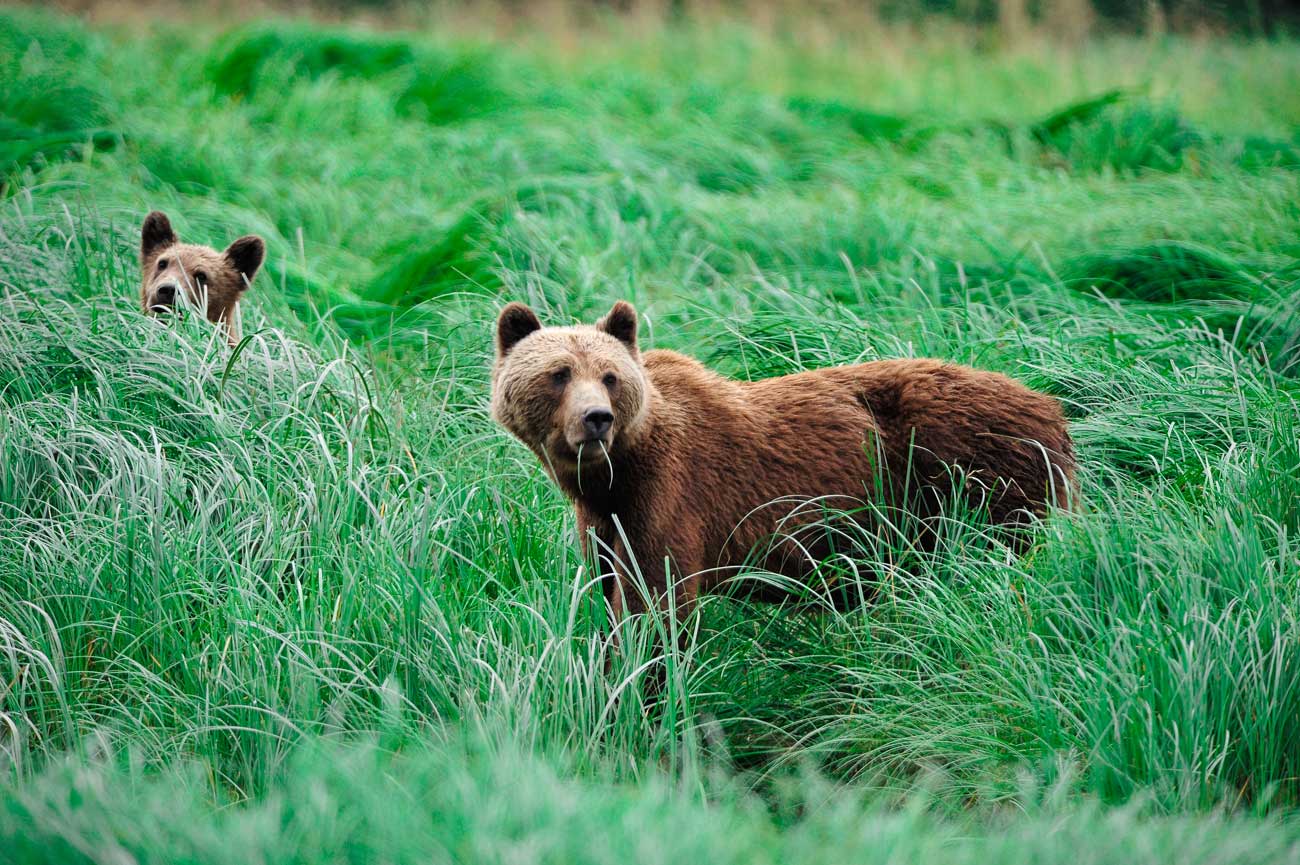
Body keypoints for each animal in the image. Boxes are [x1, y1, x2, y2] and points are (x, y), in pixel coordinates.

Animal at [488, 300, 1076, 624]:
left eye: (609, 376)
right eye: (559, 373)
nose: (597, 419)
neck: (614, 474)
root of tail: (1053, 408)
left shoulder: (671, 492)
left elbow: (655, 602)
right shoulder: (605, 518)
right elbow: (610, 589)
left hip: (974, 477)